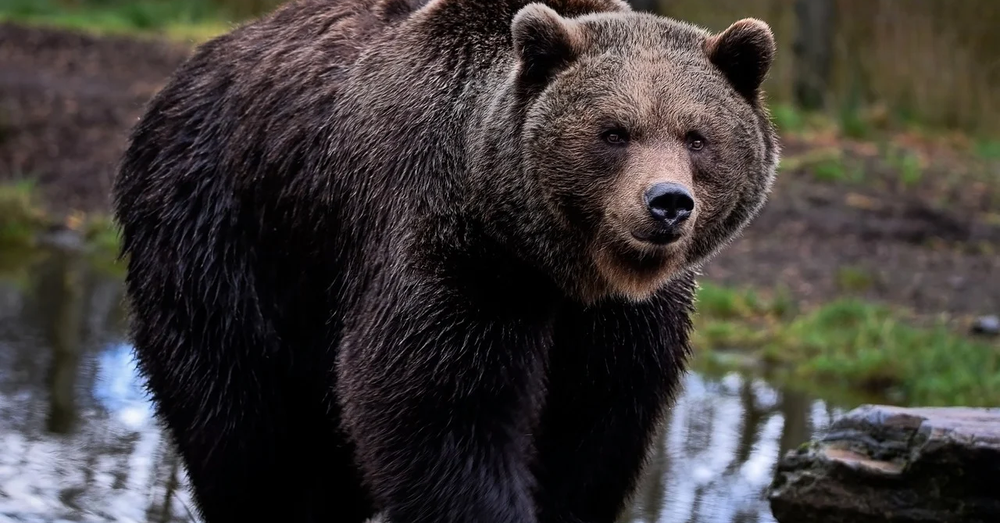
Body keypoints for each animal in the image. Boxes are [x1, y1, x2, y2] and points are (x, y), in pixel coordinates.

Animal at [111, 1, 780, 523]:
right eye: (614, 132)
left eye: (697, 136)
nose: (667, 203)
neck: (553, 264)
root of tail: (190, 69)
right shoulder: (453, 253)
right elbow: (441, 411)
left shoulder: (619, 323)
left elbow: (593, 429)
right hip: (227, 237)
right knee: (243, 427)